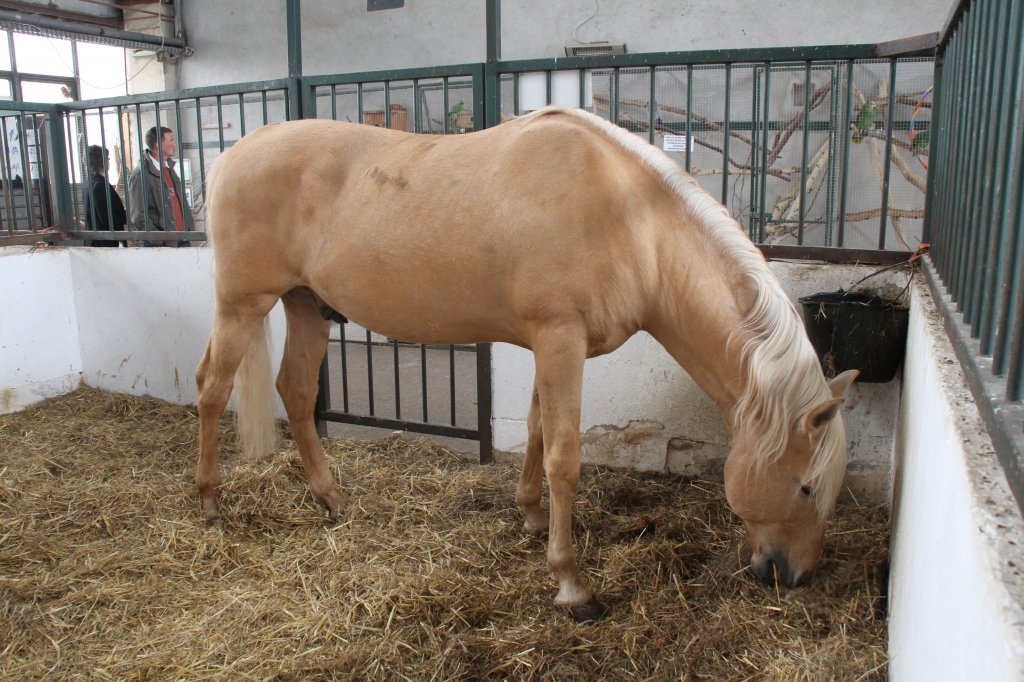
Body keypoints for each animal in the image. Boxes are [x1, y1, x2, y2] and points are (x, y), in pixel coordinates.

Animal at [195, 103, 860, 618]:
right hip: (243, 304)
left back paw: (330, 498)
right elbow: (565, 457)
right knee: (212, 390)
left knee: (295, 390)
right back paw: (210, 504)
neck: (631, 224)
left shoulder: (552, 344)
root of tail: (232, 155)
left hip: (307, 305)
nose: (791, 575)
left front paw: (533, 521)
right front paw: (570, 583)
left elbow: (539, 433)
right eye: (805, 486)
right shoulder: (560, 337)